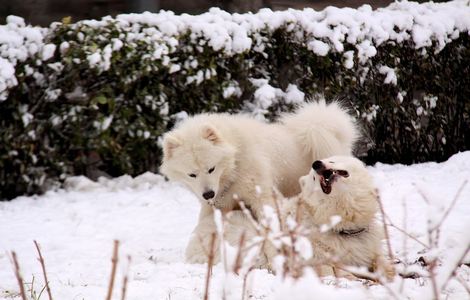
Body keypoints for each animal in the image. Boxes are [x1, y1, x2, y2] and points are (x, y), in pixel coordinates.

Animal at [160, 100, 358, 262]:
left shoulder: (261, 195)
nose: (208, 193)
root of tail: (319, 125)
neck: (235, 163)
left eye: (211, 168)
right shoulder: (219, 204)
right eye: (191, 175)